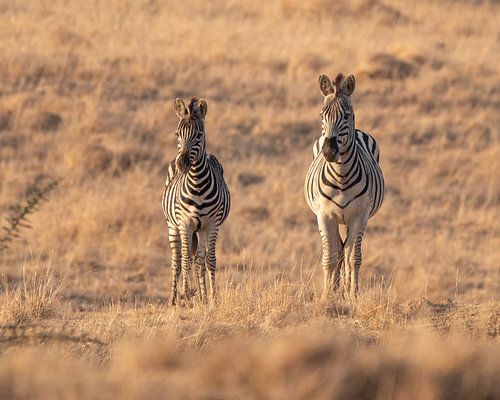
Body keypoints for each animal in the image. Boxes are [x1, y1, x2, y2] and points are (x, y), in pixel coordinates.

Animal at [162, 98, 230, 304]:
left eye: (199, 135)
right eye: (177, 134)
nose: (182, 164)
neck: (197, 182)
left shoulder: (211, 224)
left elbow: (209, 260)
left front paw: (212, 299)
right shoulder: (185, 223)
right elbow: (185, 260)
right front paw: (186, 295)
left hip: (200, 230)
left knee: (199, 260)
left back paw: (202, 297)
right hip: (173, 225)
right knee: (177, 261)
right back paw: (175, 300)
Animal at [302, 73, 384, 298]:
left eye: (346, 116)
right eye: (322, 115)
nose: (329, 151)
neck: (342, 176)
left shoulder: (360, 214)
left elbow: (353, 257)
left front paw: (353, 295)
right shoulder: (324, 215)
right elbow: (330, 257)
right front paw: (327, 294)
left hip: (350, 218)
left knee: (346, 251)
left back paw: (346, 288)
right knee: (338, 249)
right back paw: (336, 288)